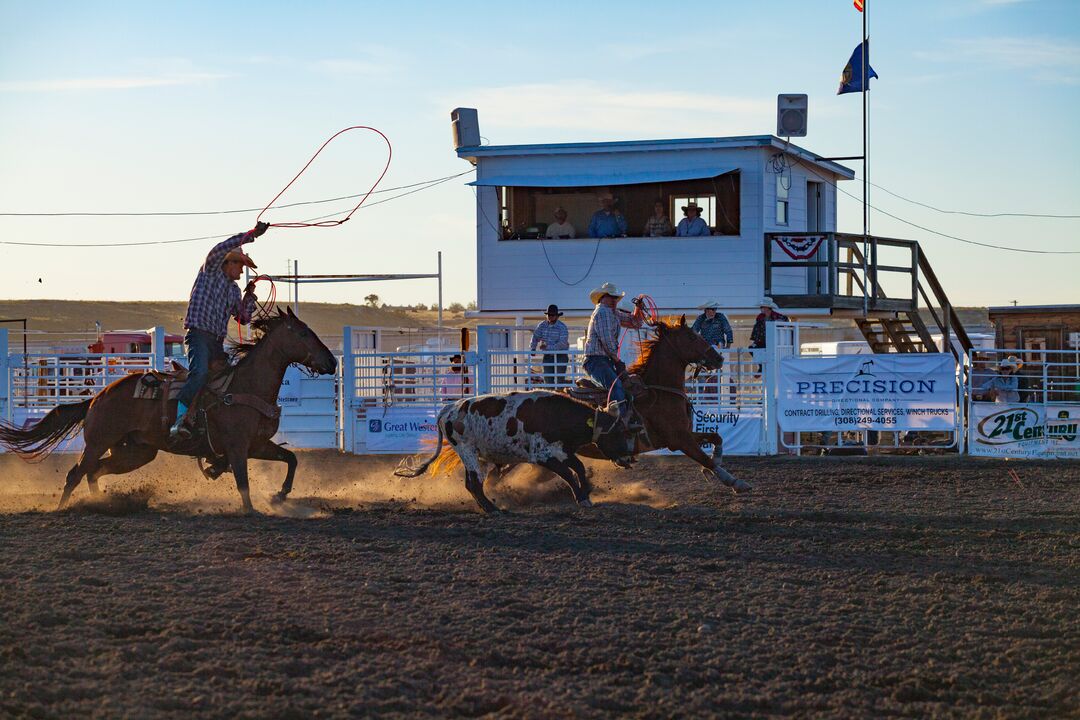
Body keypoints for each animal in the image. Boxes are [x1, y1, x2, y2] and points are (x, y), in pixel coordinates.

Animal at [0, 306, 334, 515]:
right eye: (303, 333)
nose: (331, 362)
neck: (247, 385)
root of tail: (96, 398)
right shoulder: (238, 446)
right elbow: (242, 481)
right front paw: (252, 509)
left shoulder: (258, 445)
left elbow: (290, 459)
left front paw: (281, 494)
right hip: (98, 441)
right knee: (76, 473)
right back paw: (62, 509)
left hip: (135, 452)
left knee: (94, 471)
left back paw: (101, 504)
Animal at [393, 390, 635, 515]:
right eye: (618, 432)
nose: (629, 458)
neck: (557, 416)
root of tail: (447, 410)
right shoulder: (542, 455)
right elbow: (568, 473)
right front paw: (581, 497)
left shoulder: (563, 450)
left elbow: (579, 467)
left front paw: (586, 495)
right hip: (467, 451)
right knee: (473, 483)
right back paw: (492, 509)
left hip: (478, 456)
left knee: (473, 483)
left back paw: (489, 506)